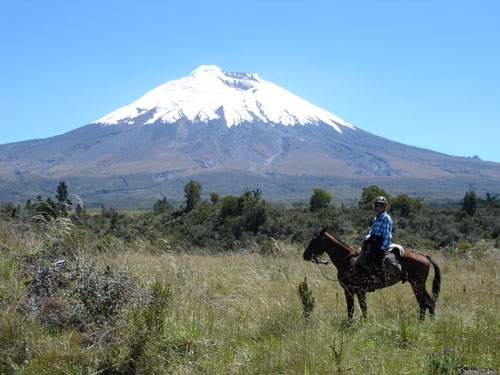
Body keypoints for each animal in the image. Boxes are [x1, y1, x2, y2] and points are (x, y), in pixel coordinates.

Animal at [302, 226, 440, 320]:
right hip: (419, 284)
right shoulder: (348, 290)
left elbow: (363, 309)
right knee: (429, 302)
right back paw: (430, 322)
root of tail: (424, 257)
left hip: (417, 284)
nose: (305, 255)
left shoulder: (359, 290)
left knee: (423, 303)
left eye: (315, 240)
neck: (347, 260)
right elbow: (351, 309)